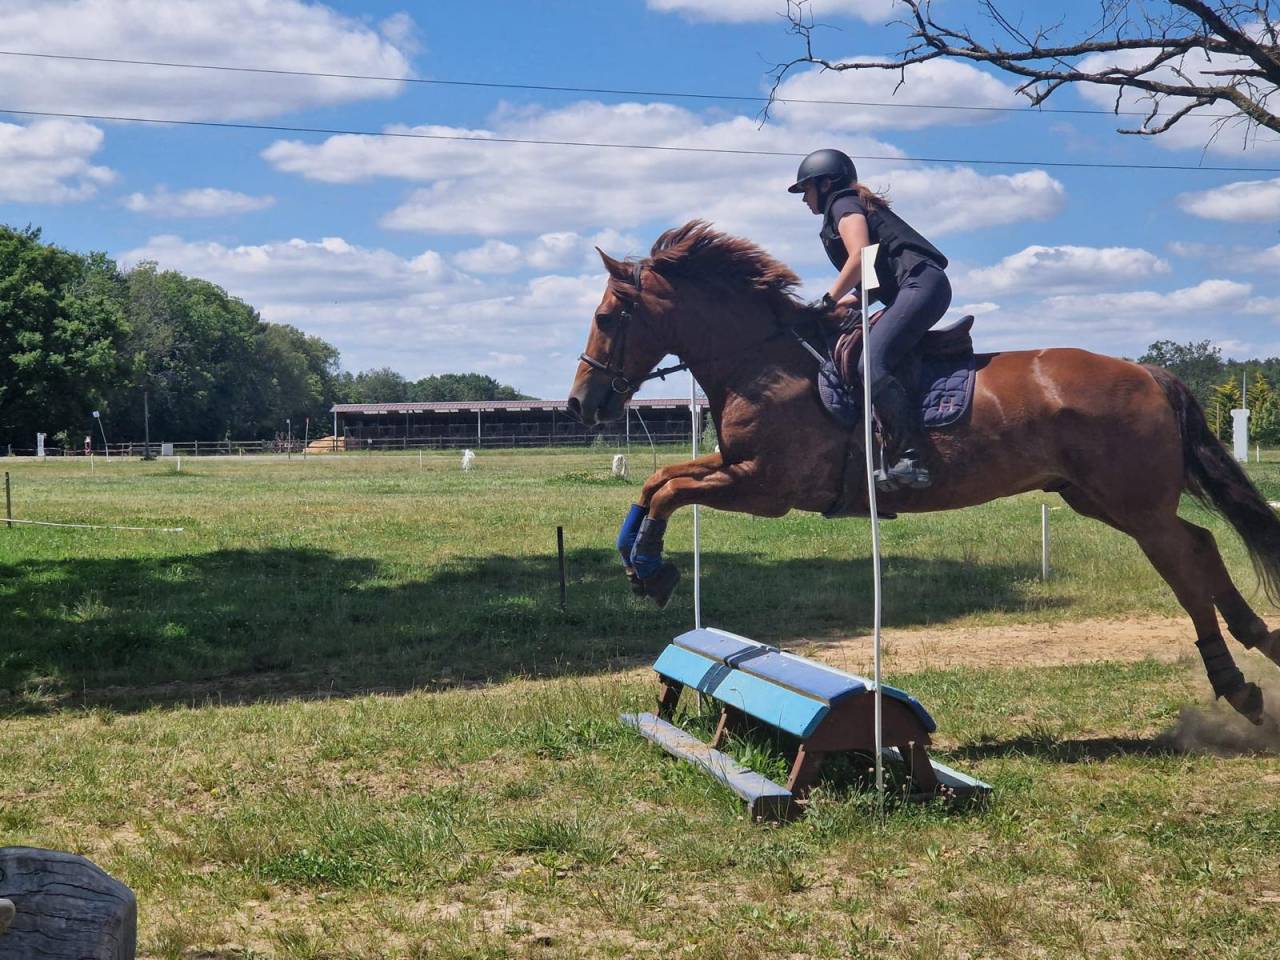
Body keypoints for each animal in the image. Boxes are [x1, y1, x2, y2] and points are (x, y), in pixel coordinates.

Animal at [566, 220, 1280, 726]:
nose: (581, 403)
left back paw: (1238, 686)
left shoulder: (765, 486)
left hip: (1133, 505)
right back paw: (1260, 640)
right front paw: (640, 564)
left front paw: (651, 569)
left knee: (1184, 566)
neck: (762, 360)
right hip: (1096, 498)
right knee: (1202, 543)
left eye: (605, 318)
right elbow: (657, 483)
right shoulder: (737, 466)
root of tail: (1149, 373)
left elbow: (672, 491)